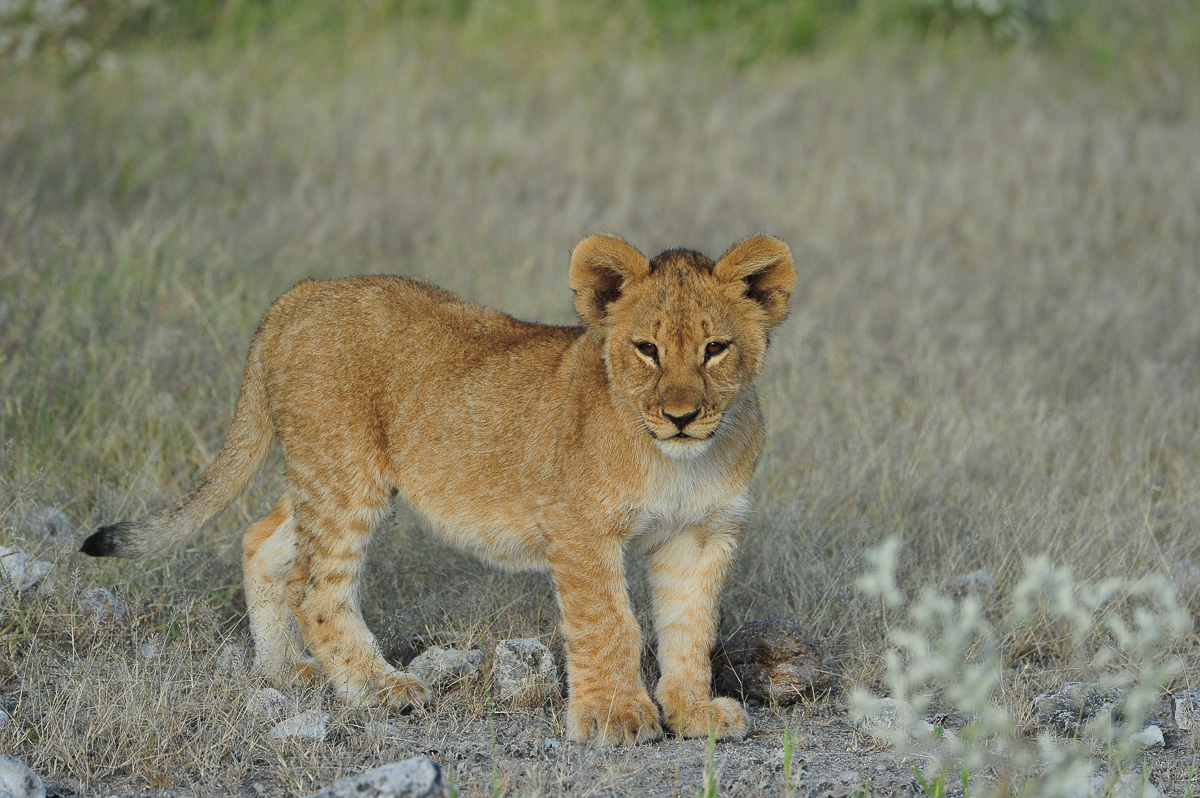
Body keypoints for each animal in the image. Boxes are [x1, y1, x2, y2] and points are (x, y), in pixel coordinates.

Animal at [82, 233, 795, 745]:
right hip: (346, 475)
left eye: (715, 348)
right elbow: (608, 623)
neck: (681, 462)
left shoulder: (701, 535)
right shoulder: (581, 529)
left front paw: (693, 713)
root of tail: (299, 296)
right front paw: (615, 721)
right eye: (647, 349)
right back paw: (379, 689)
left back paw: (285, 670)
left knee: (263, 539)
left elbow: (689, 627)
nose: (681, 415)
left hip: (322, 473)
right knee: (315, 586)